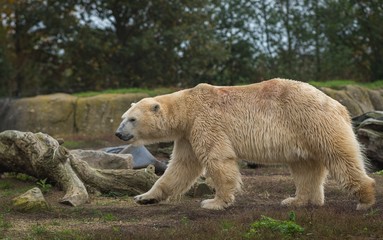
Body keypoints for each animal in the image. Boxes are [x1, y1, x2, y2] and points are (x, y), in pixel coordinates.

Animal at [115, 78, 376, 210]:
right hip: (301, 133)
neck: (188, 106)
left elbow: (217, 158)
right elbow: (181, 167)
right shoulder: (188, 133)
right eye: (123, 117)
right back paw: (297, 200)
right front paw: (144, 197)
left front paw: (214, 202)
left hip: (312, 121)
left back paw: (365, 199)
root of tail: (338, 105)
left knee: (340, 157)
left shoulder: (205, 121)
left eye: (132, 119)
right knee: (305, 167)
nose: (118, 133)